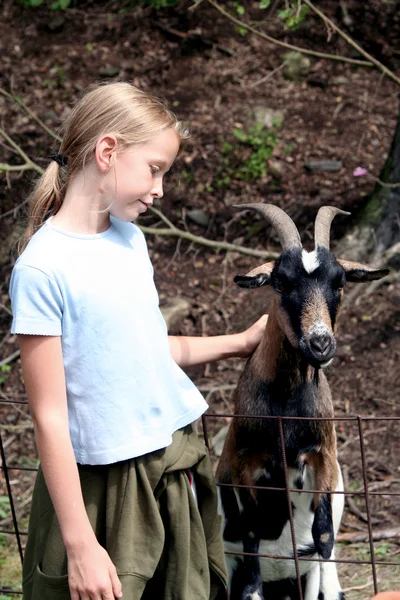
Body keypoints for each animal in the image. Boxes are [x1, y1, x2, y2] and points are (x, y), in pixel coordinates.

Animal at [217, 203, 390, 600]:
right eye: (281, 283)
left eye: (339, 283)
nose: (320, 344)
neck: (286, 413)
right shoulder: (243, 461)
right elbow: (251, 536)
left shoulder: (323, 456)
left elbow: (323, 537)